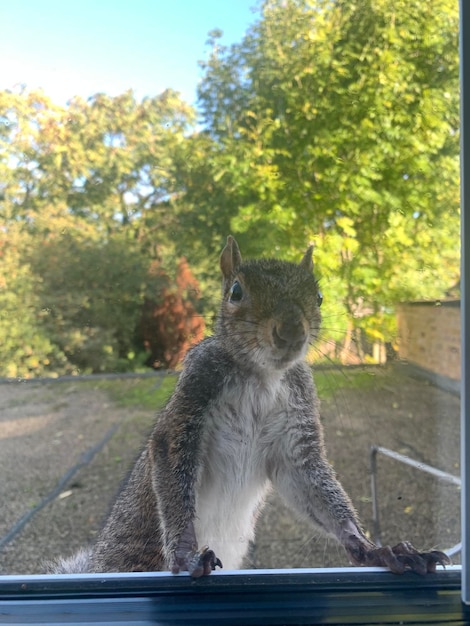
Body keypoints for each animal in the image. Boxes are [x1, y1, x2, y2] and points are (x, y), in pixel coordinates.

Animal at [50, 238, 448, 576]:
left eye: (318, 296)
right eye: (236, 292)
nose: (291, 331)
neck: (261, 377)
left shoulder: (296, 438)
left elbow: (314, 486)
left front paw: (376, 549)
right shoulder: (191, 398)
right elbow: (175, 481)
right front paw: (185, 553)